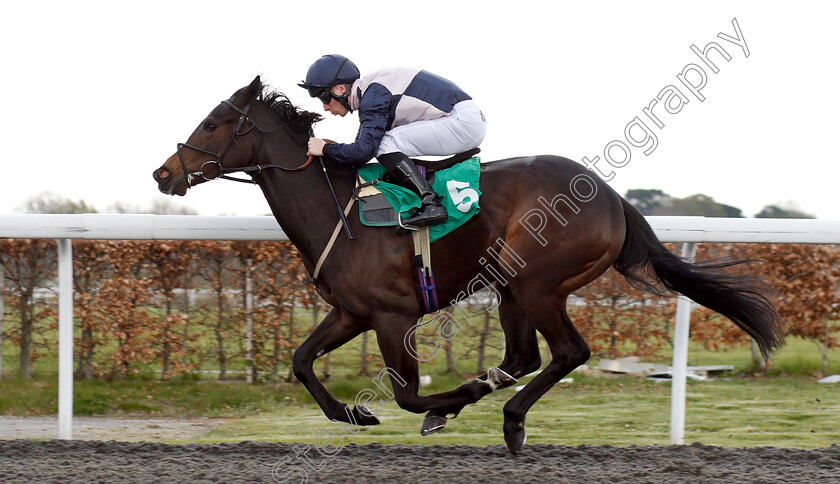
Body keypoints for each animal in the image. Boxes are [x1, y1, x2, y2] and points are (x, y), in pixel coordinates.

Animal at [154, 76, 784, 454]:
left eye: (213, 122)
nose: (163, 173)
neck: (340, 208)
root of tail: (612, 197)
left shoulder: (394, 316)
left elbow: (408, 396)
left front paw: (434, 408)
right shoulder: (352, 313)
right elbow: (302, 361)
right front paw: (353, 416)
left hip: (537, 282)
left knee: (567, 352)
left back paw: (509, 419)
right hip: (510, 286)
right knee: (525, 356)